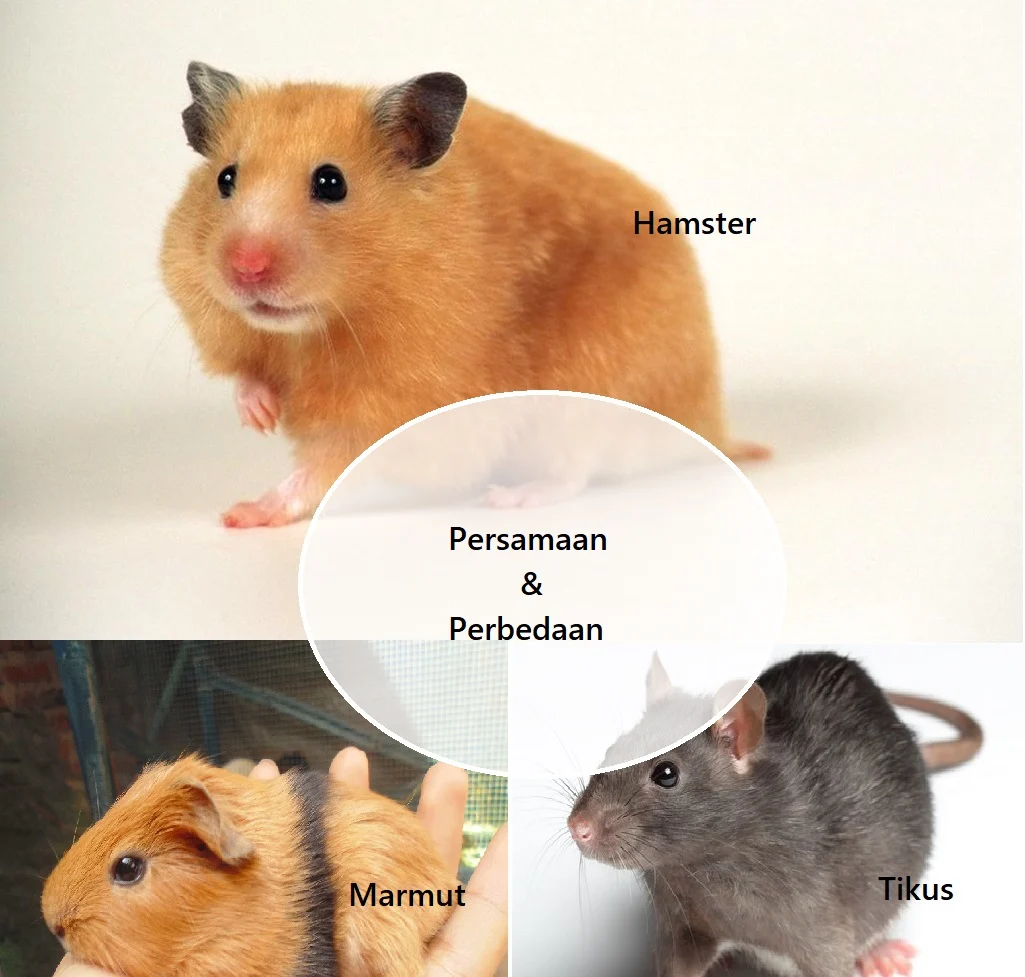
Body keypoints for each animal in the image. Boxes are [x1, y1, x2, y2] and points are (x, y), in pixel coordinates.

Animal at [161, 62, 767, 528]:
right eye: (225, 179)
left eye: (331, 183)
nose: (244, 270)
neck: (315, 330)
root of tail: (710, 422)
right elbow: (245, 374)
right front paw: (260, 414)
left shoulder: (391, 405)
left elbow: (320, 469)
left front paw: (240, 515)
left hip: (585, 399)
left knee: (572, 471)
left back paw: (509, 499)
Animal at [567, 651, 982, 977]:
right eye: (613, 751)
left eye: (666, 774)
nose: (577, 827)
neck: (707, 868)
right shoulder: (683, 918)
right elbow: (678, 963)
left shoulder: (818, 916)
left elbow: (832, 959)